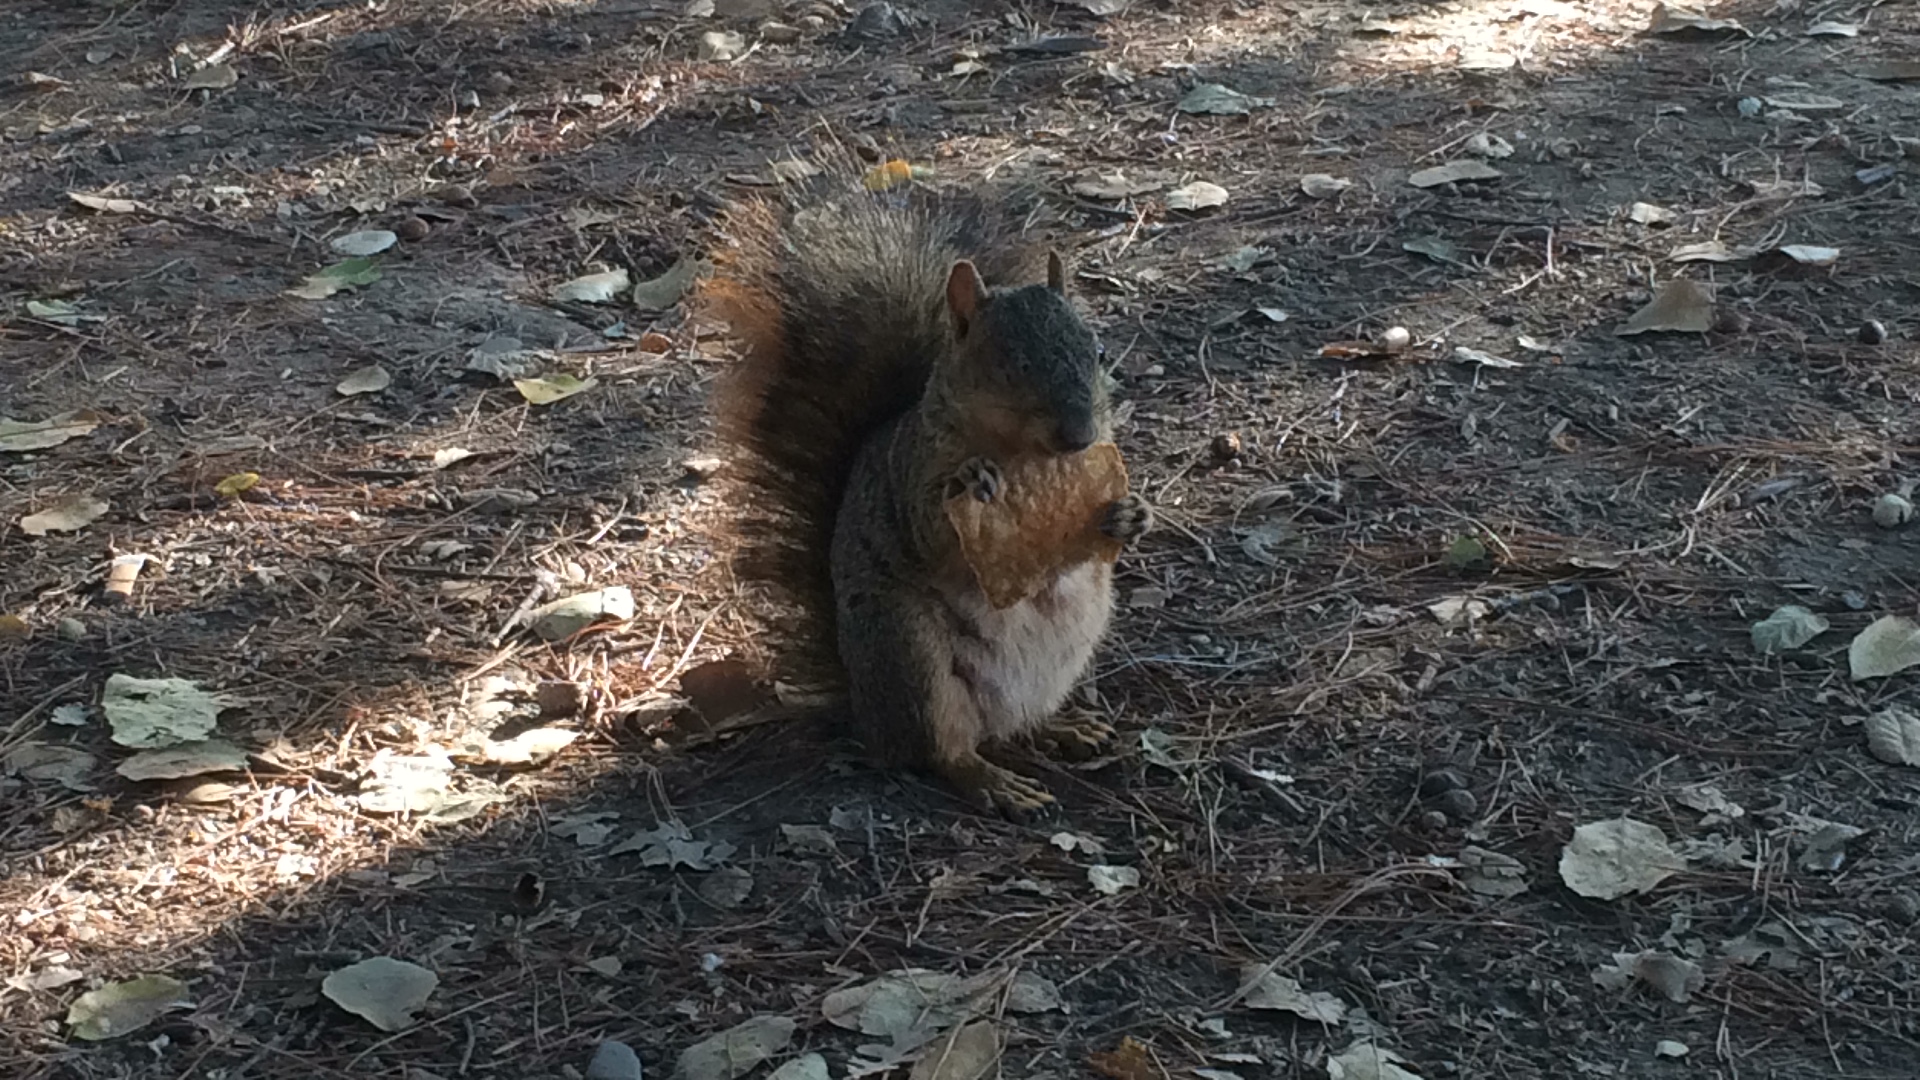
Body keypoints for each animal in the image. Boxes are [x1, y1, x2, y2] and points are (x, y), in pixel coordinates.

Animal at [706, 164, 1152, 810]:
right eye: (1009, 362)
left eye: (1096, 350)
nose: (1080, 435)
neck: (1027, 455)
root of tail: (866, 715)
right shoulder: (911, 473)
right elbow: (933, 530)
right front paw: (972, 482)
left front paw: (1130, 515)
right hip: (911, 657)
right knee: (943, 753)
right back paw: (995, 784)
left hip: (1067, 652)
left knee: (1017, 726)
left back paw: (1064, 728)